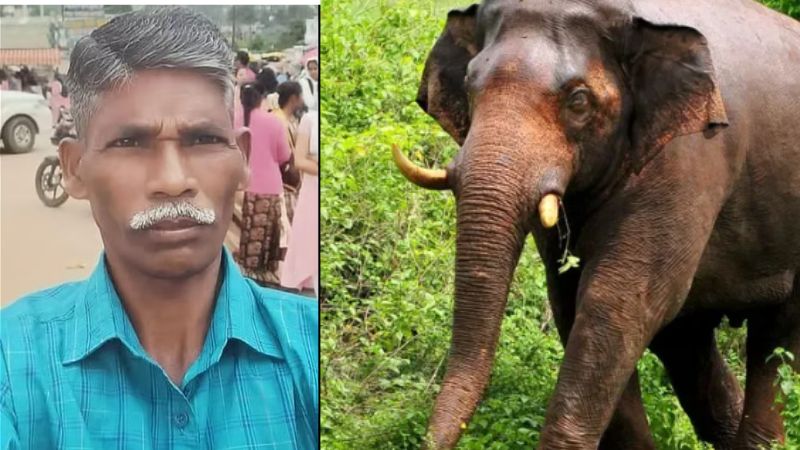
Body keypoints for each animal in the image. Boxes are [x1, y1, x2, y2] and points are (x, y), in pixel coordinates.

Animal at [392, 0, 800, 448]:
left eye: (578, 101)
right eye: (468, 85)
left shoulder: (687, 159)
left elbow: (619, 300)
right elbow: (570, 297)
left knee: (774, 342)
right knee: (688, 345)